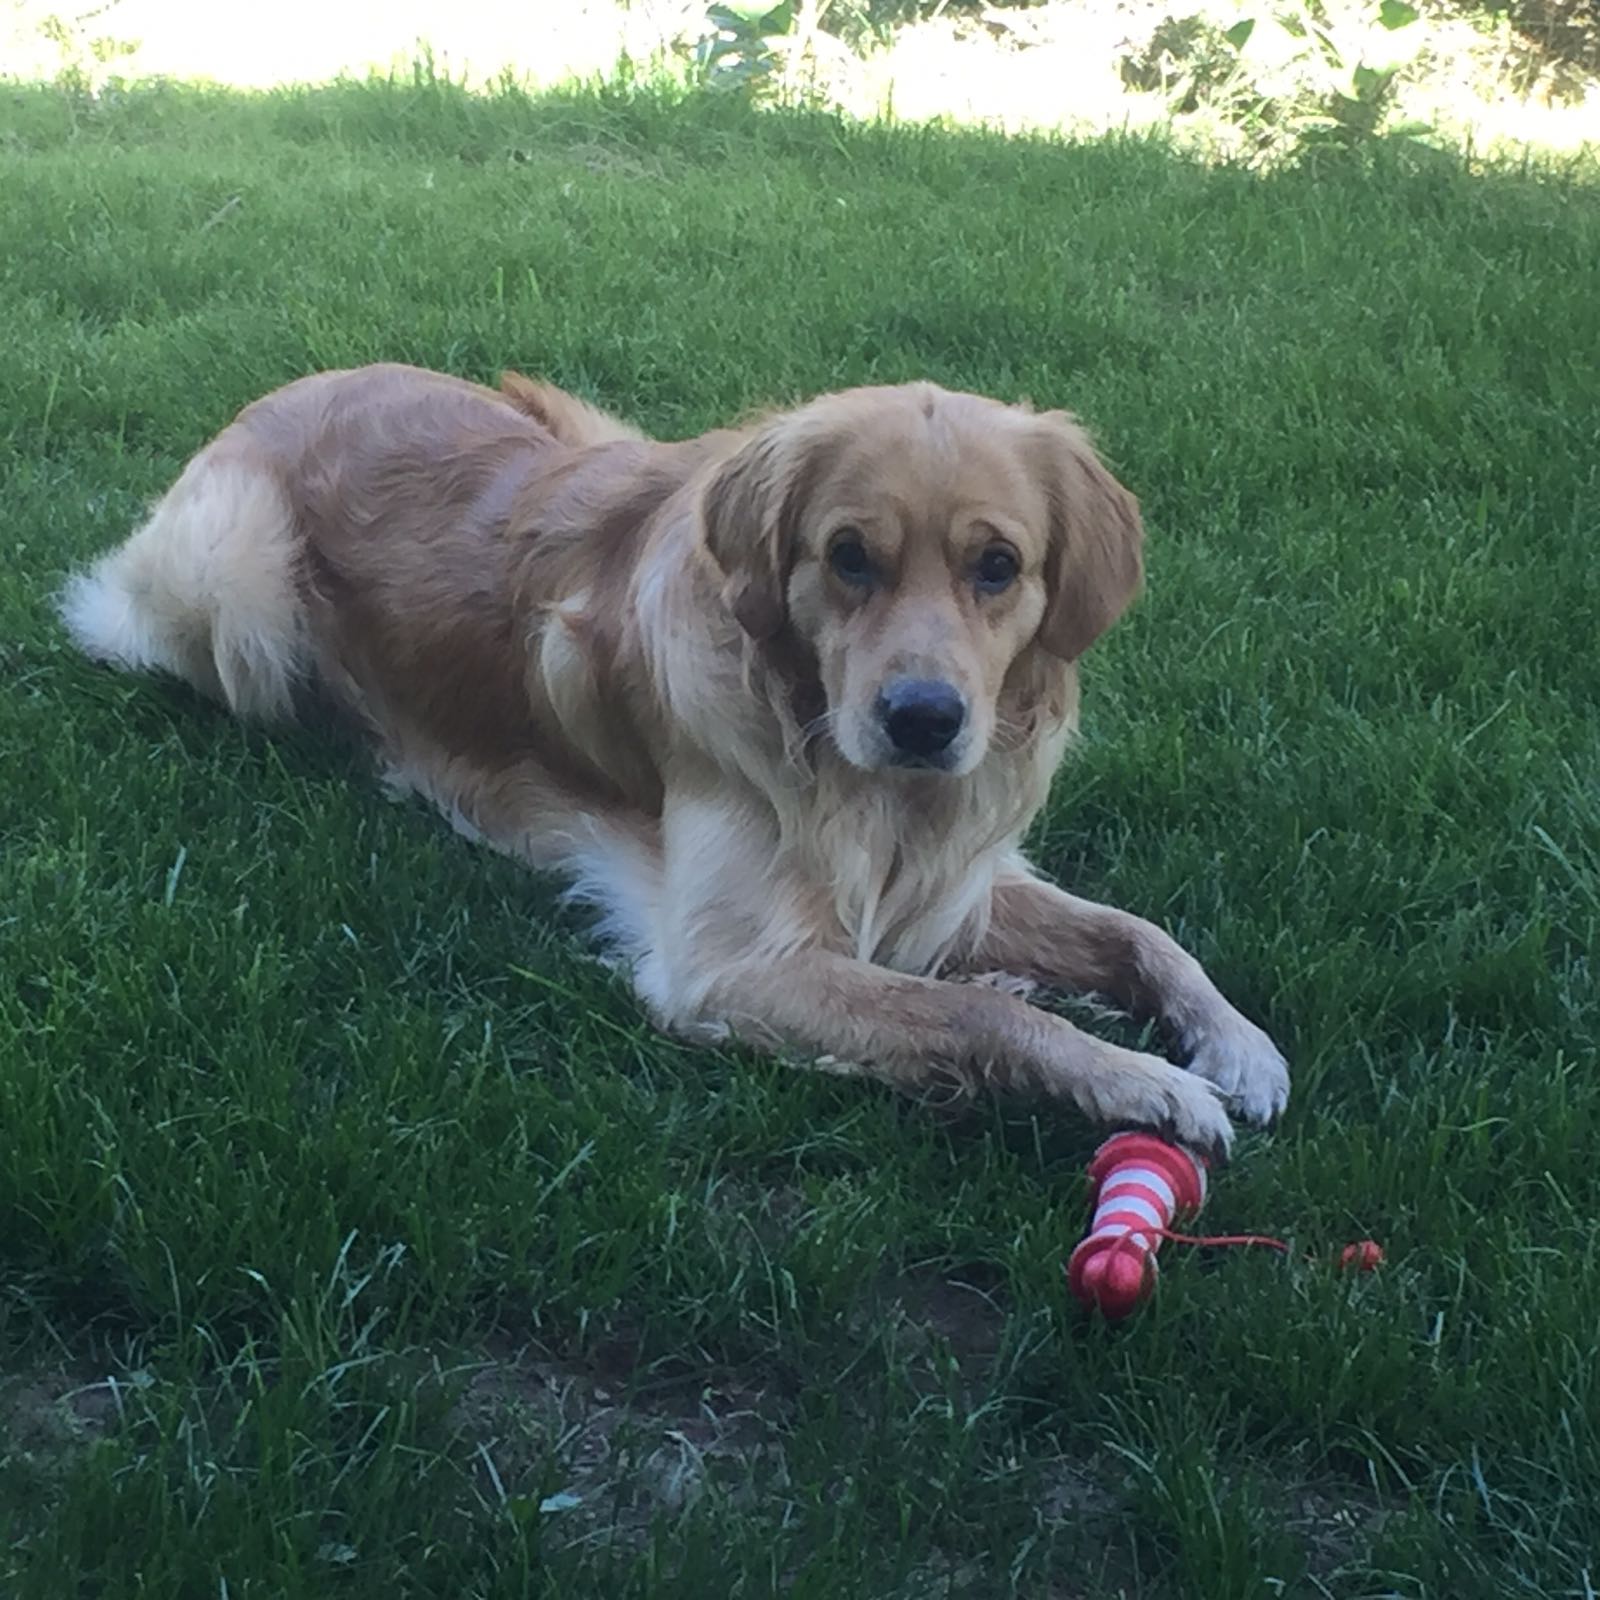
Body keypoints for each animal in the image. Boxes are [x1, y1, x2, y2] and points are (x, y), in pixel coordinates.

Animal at [60, 363, 1289, 1156]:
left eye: (998, 566)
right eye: (848, 556)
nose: (924, 720)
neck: (850, 772)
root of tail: (280, 394)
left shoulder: (958, 873)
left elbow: (1138, 932)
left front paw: (1234, 1044)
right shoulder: (727, 965)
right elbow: (979, 1018)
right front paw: (1143, 1081)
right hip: (241, 590)